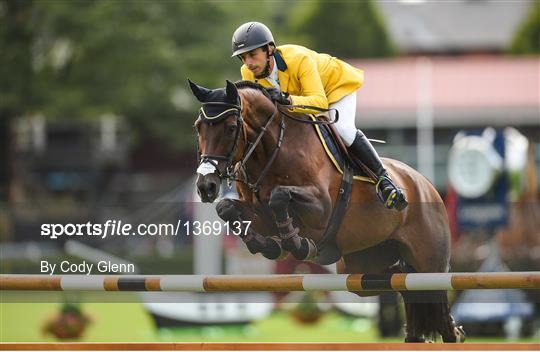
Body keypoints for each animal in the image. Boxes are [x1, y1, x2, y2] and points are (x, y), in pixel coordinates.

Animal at [189, 79, 464, 340]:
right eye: (198, 127)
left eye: (230, 128)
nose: (206, 186)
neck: (271, 151)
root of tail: (425, 184)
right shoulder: (259, 215)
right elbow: (227, 209)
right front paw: (268, 246)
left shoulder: (321, 208)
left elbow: (279, 197)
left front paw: (298, 245)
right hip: (363, 270)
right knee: (399, 284)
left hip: (429, 264)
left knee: (437, 304)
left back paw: (456, 333)